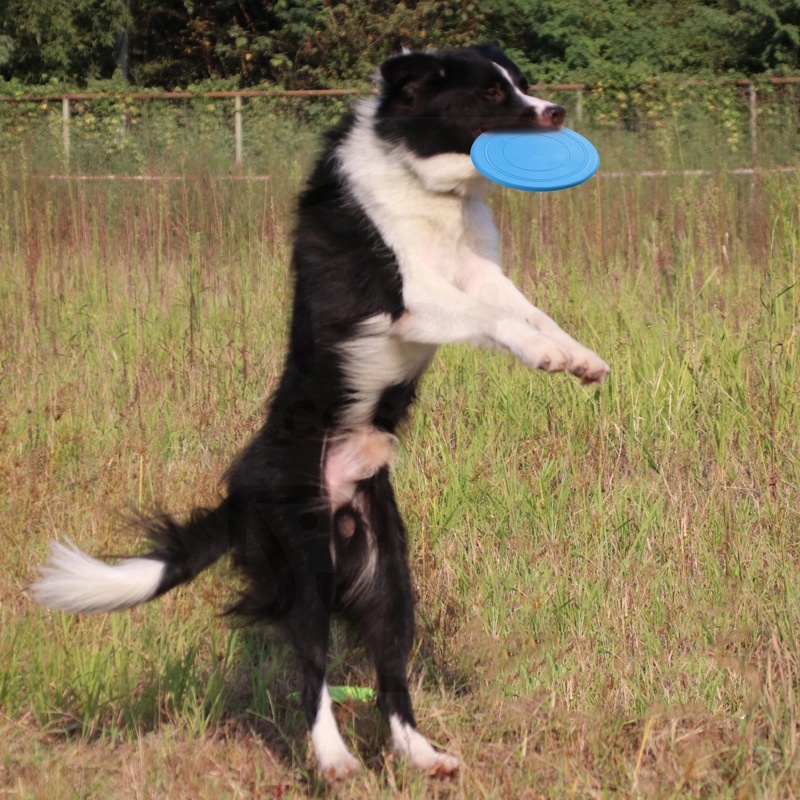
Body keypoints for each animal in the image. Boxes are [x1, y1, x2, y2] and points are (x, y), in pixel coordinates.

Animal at [29, 43, 608, 780]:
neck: (430, 187)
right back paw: (334, 761)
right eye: (490, 96)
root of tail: (239, 493)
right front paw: (545, 356)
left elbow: (530, 310)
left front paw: (578, 357)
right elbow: (497, 320)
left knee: (390, 673)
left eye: (521, 86)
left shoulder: (481, 274)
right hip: (303, 560)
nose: (555, 112)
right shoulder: (410, 296)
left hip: (386, 571)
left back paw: (424, 757)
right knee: (313, 668)